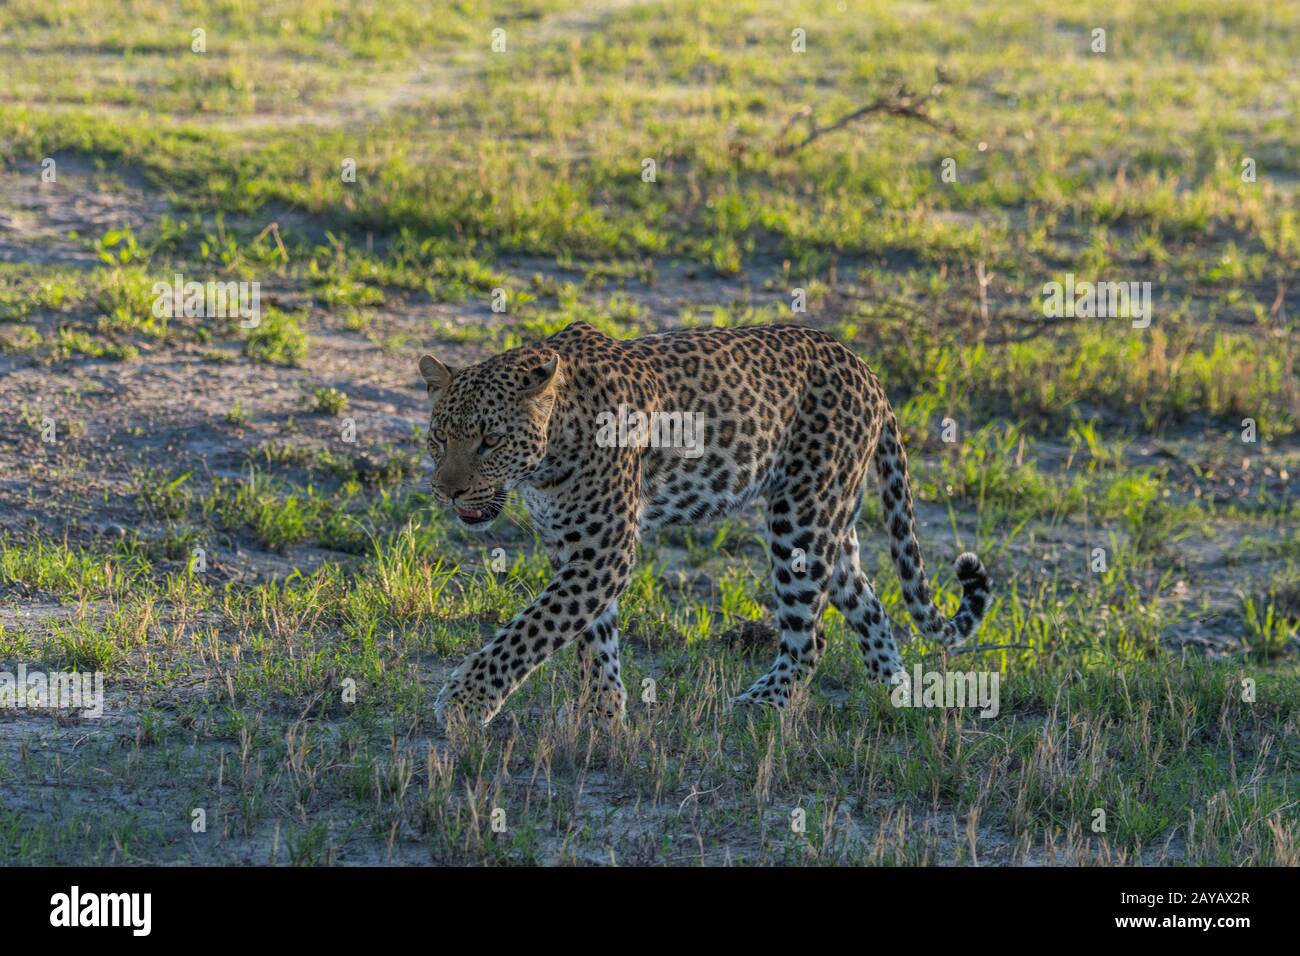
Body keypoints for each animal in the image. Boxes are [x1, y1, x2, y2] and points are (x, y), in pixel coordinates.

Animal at [421, 320, 991, 728]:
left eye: (490, 441)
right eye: (439, 438)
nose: (447, 491)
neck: (549, 450)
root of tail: (866, 368)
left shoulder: (604, 550)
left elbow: (530, 631)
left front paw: (465, 702)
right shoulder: (576, 547)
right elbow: (590, 637)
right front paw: (601, 712)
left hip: (801, 521)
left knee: (811, 640)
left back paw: (761, 705)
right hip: (832, 518)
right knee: (870, 605)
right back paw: (894, 694)